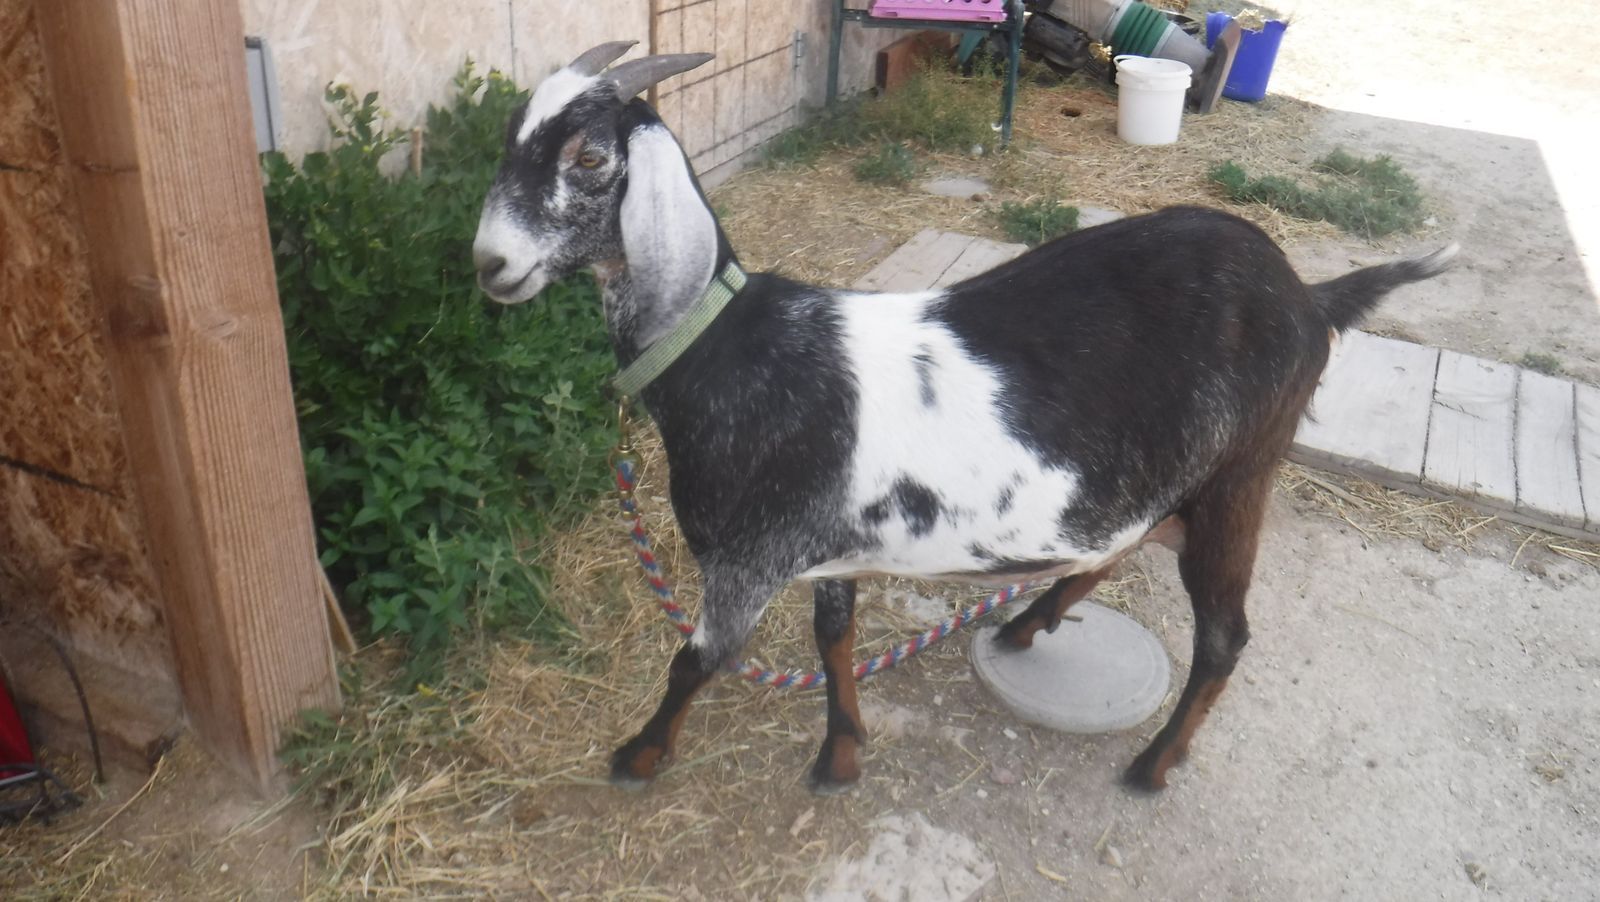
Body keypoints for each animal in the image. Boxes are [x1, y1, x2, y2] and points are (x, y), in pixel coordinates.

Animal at [472, 42, 1458, 794]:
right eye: (512, 140)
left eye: (589, 158)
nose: (490, 264)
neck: (726, 348)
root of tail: (1312, 298)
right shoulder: (827, 545)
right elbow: (834, 637)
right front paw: (842, 754)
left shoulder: (746, 560)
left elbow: (696, 662)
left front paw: (639, 755)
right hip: (1163, 472)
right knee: (1124, 539)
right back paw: (1026, 624)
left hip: (1241, 475)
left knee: (1222, 639)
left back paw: (1153, 765)